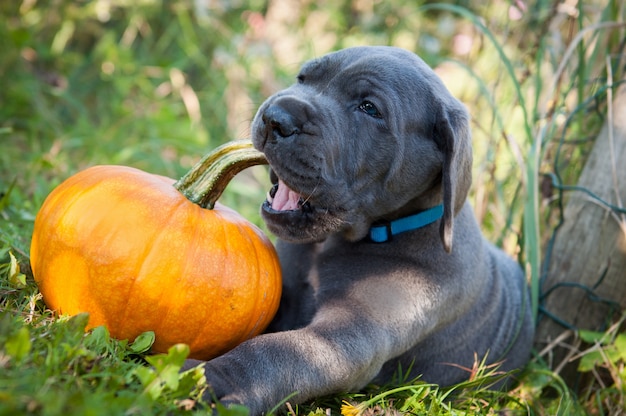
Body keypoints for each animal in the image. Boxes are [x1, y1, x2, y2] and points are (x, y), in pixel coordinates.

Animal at [184, 45, 532, 412]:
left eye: (369, 108)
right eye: (303, 78)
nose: (276, 117)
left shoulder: (349, 334)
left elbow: (275, 351)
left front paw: (211, 381)